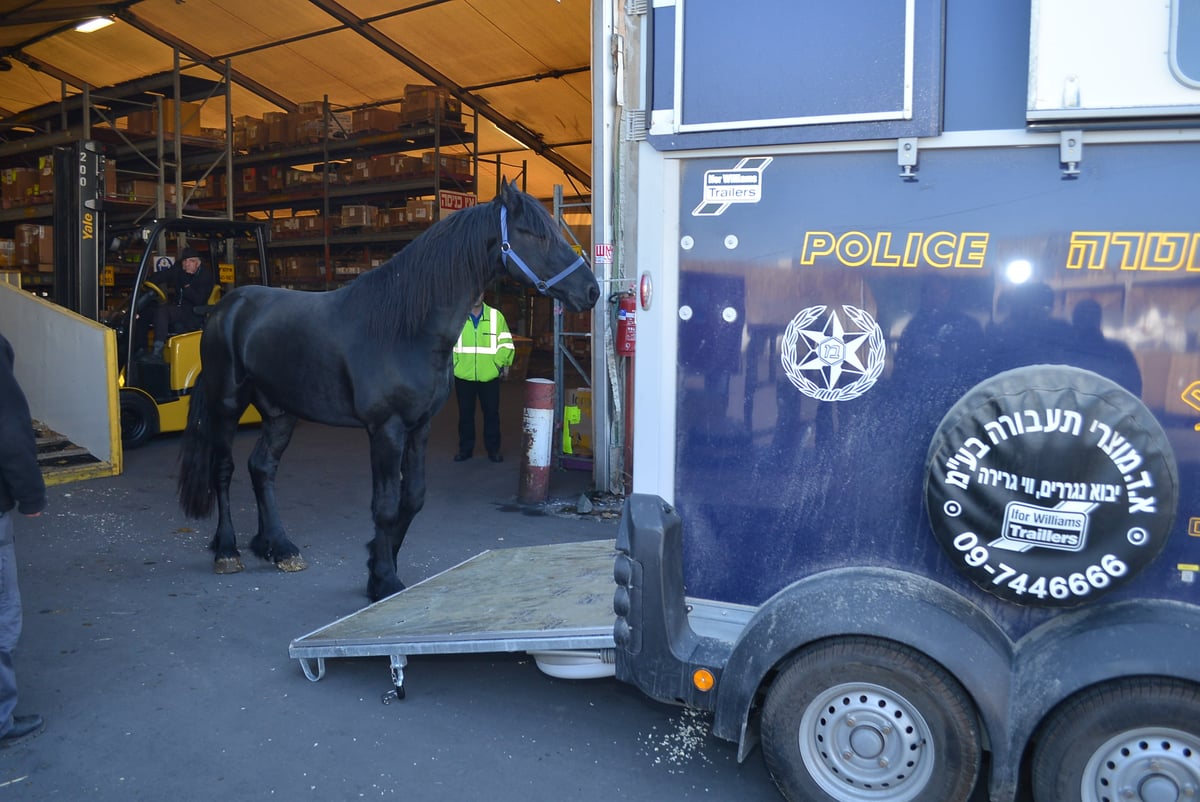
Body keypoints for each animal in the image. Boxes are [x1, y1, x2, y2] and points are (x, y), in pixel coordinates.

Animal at [176, 178, 600, 597]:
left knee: (262, 467)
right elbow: (385, 504)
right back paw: (227, 550)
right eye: (534, 234)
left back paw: (278, 547)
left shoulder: (419, 427)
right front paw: (383, 578)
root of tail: (225, 307)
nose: (592, 291)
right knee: (224, 469)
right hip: (227, 404)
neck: (405, 328)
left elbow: (412, 498)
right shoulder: (386, 429)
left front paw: (380, 567)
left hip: (281, 412)